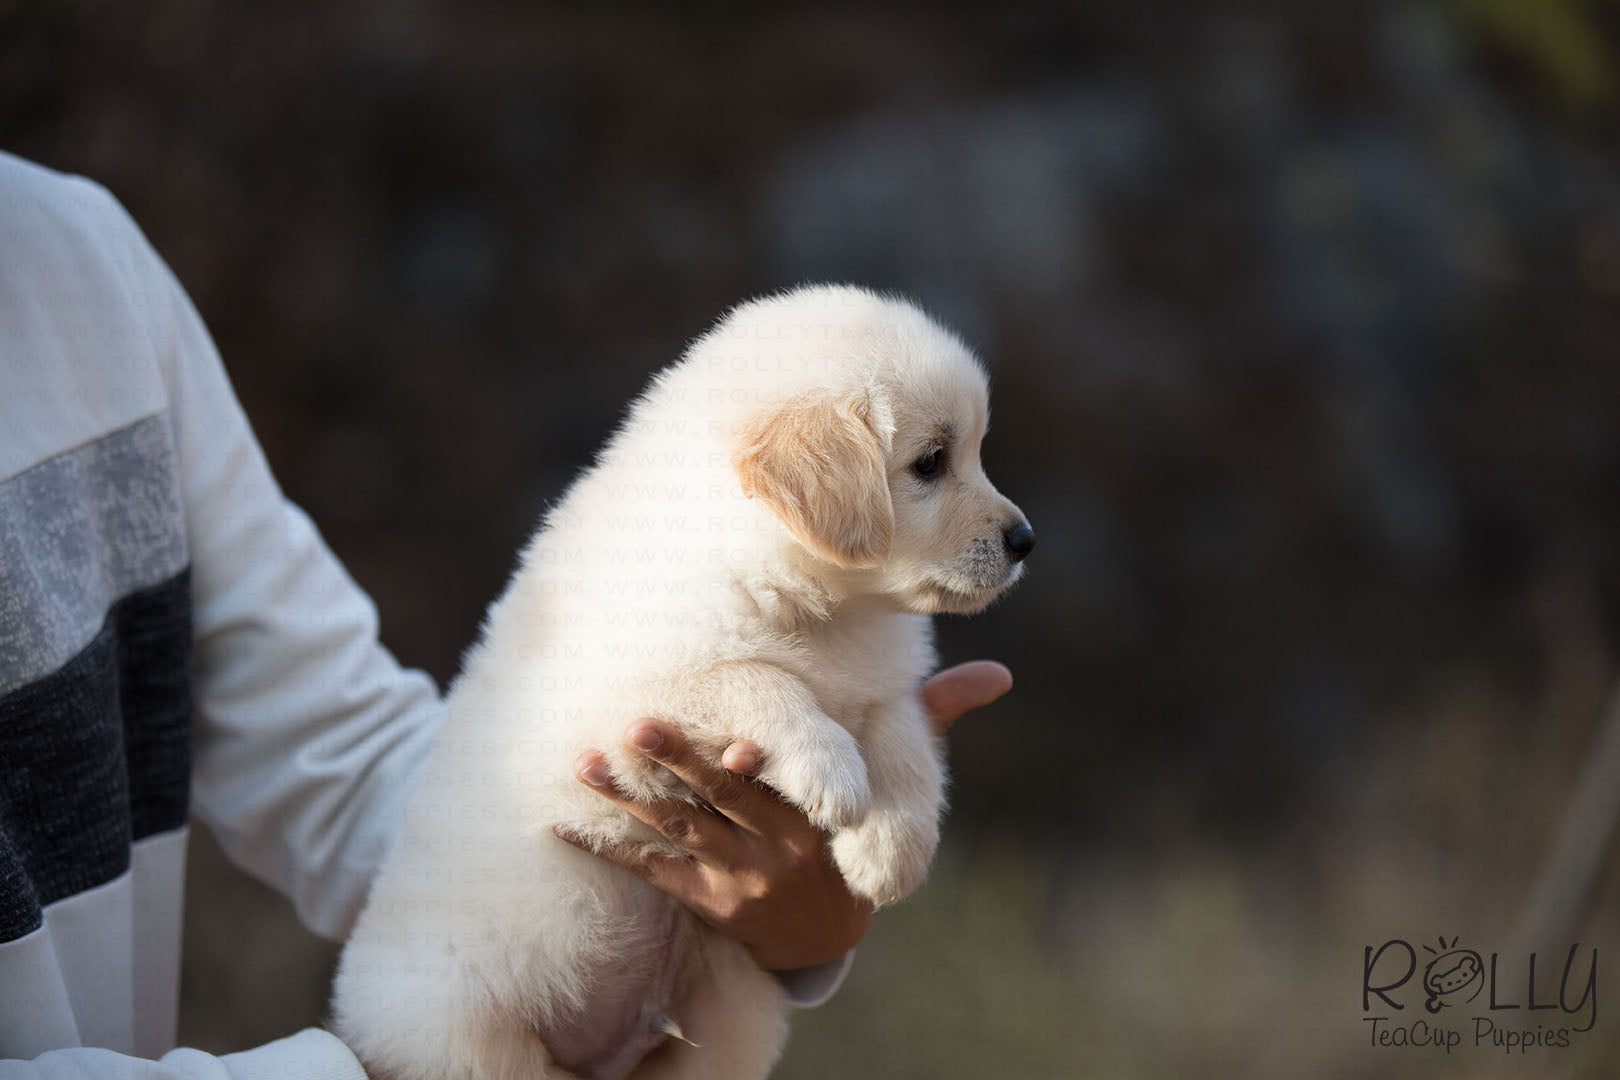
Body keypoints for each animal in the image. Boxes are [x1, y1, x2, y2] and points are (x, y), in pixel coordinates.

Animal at [333, 284, 1030, 1080]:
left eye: (970, 452)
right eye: (931, 462)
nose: (1024, 540)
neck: (819, 607)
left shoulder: (883, 682)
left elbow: (905, 746)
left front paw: (890, 855)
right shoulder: (625, 708)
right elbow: (753, 678)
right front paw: (830, 773)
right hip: (471, 1046)